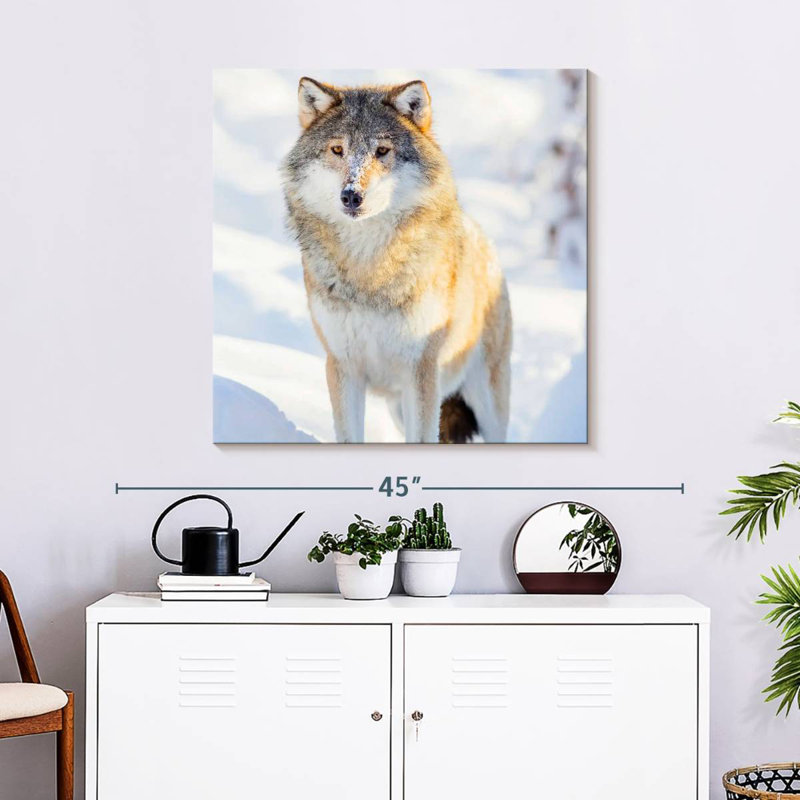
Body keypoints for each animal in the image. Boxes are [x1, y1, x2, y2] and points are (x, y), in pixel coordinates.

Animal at [281, 77, 512, 443]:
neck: (368, 267)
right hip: (398, 407)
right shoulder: (343, 366)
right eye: (337, 150)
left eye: (381, 151)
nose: (351, 195)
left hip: (485, 403)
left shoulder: (420, 371)